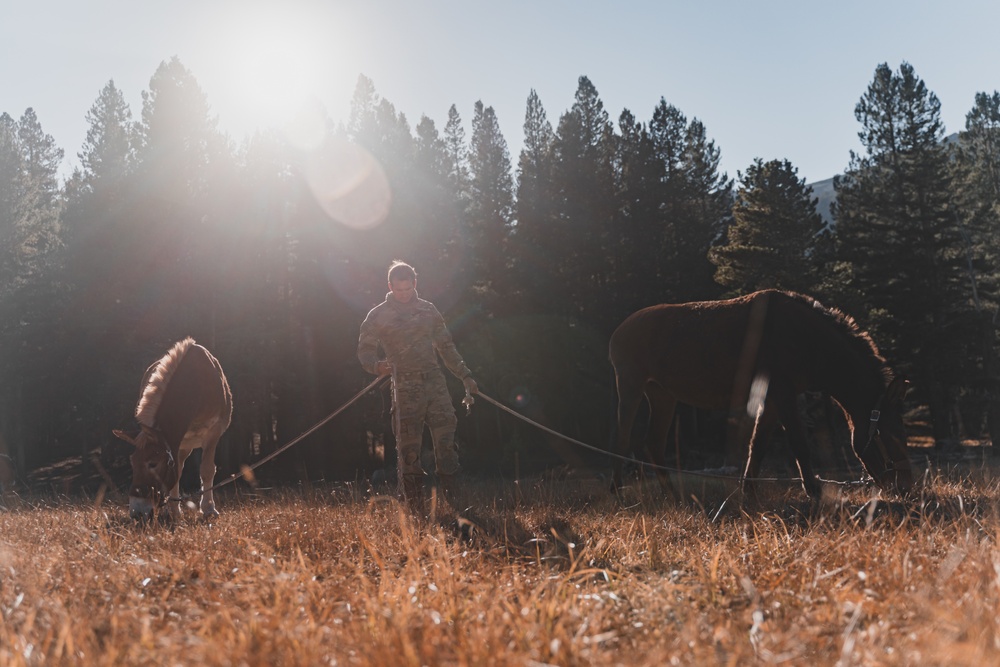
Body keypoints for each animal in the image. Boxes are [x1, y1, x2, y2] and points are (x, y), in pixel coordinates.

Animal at [113, 340, 232, 520]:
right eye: (132, 462)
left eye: (153, 464)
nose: (137, 512)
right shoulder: (176, 440)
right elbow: (177, 473)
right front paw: (174, 511)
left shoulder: (213, 432)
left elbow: (207, 470)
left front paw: (209, 509)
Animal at [608, 290, 916, 500]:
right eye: (890, 435)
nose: (905, 487)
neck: (810, 342)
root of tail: (617, 332)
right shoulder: (783, 393)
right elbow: (798, 443)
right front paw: (813, 491)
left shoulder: (771, 399)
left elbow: (757, 445)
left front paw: (749, 491)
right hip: (631, 384)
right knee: (622, 437)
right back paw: (617, 490)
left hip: (662, 394)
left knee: (653, 444)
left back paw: (673, 494)